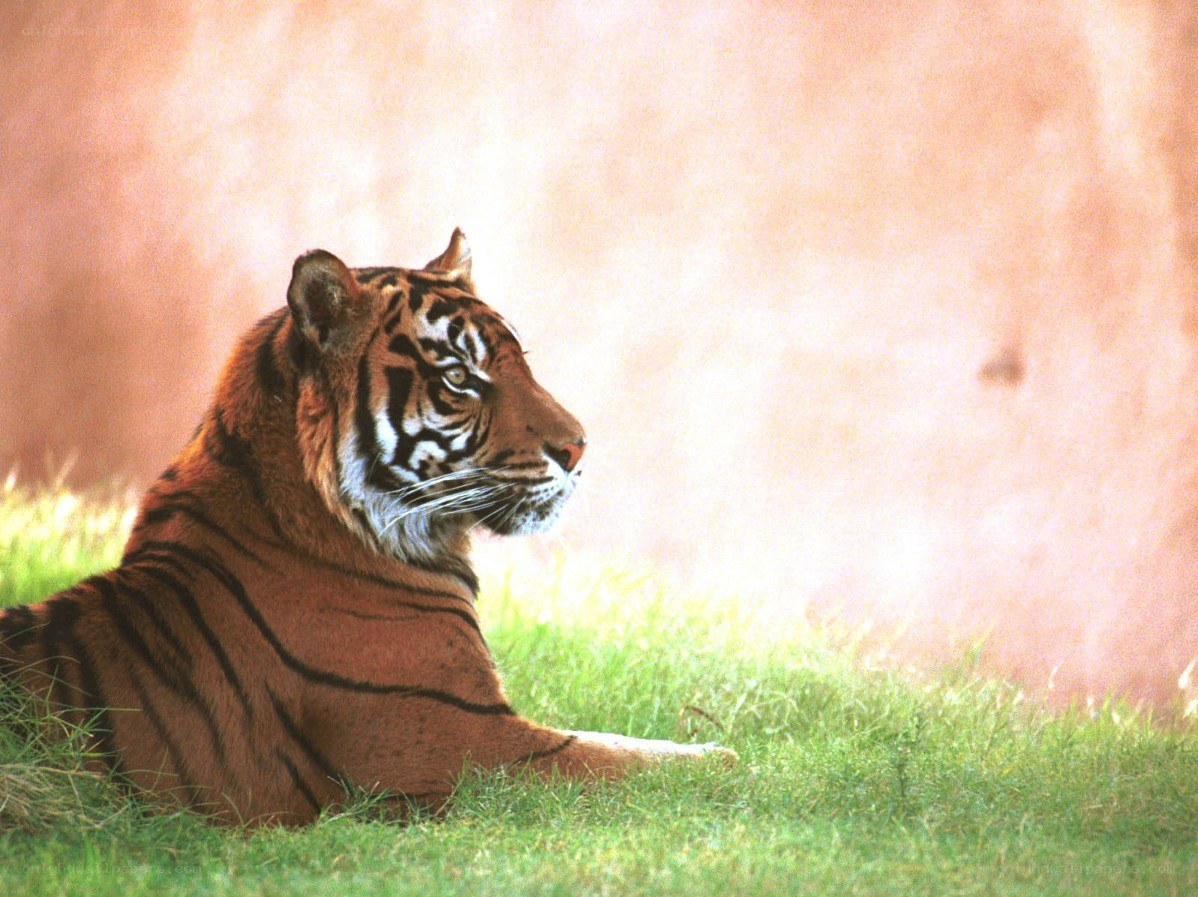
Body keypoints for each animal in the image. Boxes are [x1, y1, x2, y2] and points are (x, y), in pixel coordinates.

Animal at [0, 230, 731, 826]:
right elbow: (654, 763)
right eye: (461, 377)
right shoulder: (472, 745)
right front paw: (739, 758)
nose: (578, 447)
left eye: (520, 360)